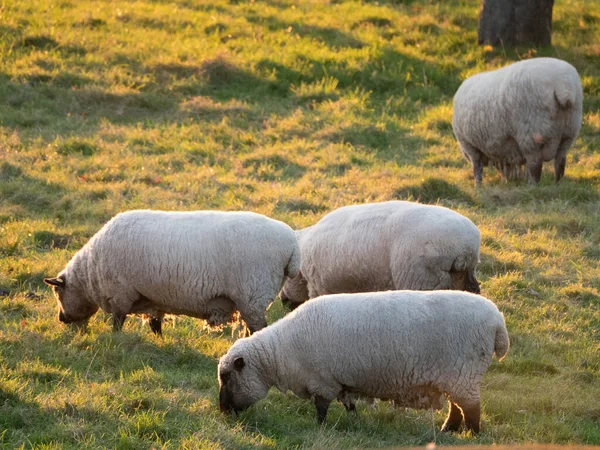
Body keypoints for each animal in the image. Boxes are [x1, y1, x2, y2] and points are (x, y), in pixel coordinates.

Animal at [43, 210, 300, 334]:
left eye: (57, 293)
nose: (61, 320)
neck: (90, 271)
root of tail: (293, 245)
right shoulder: (155, 298)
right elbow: (155, 324)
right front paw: (160, 339)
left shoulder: (121, 294)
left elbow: (117, 322)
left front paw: (116, 339)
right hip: (252, 300)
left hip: (252, 294)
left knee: (258, 329)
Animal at [218, 290, 508, 434]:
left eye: (227, 377)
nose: (222, 412)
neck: (280, 351)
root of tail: (498, 322)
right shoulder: (341, 382)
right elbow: (349, 405)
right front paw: (355, 423)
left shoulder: (322, 380)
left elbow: (321, 408)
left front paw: (320, 429)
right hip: (455, 374)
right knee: (457, 406)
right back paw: (449, 430)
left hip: (464, 371)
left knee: (471, 408)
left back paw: (472, 435)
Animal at [452, 57, 584, 185]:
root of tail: (563, 85)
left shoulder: (470, 146)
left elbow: (477, 169)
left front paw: (478, 186)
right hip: (568, 133)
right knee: (560, 163)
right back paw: (557, 185)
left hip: (531, 135)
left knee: (535, 166)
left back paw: (532, 186)